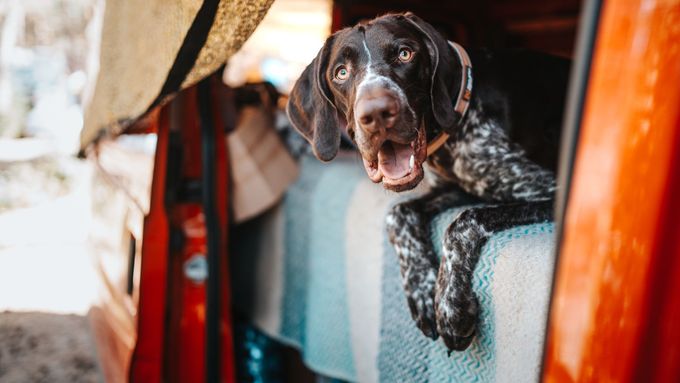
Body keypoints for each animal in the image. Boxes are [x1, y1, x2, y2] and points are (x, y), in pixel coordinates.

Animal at [284, 13, 572, 352]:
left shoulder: (553, 191)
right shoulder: (455, 187)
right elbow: (399, 213)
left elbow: (464, 221)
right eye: (341, 73)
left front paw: (449, 304)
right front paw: (422, 290)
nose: (377, 114)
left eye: (405, 54)